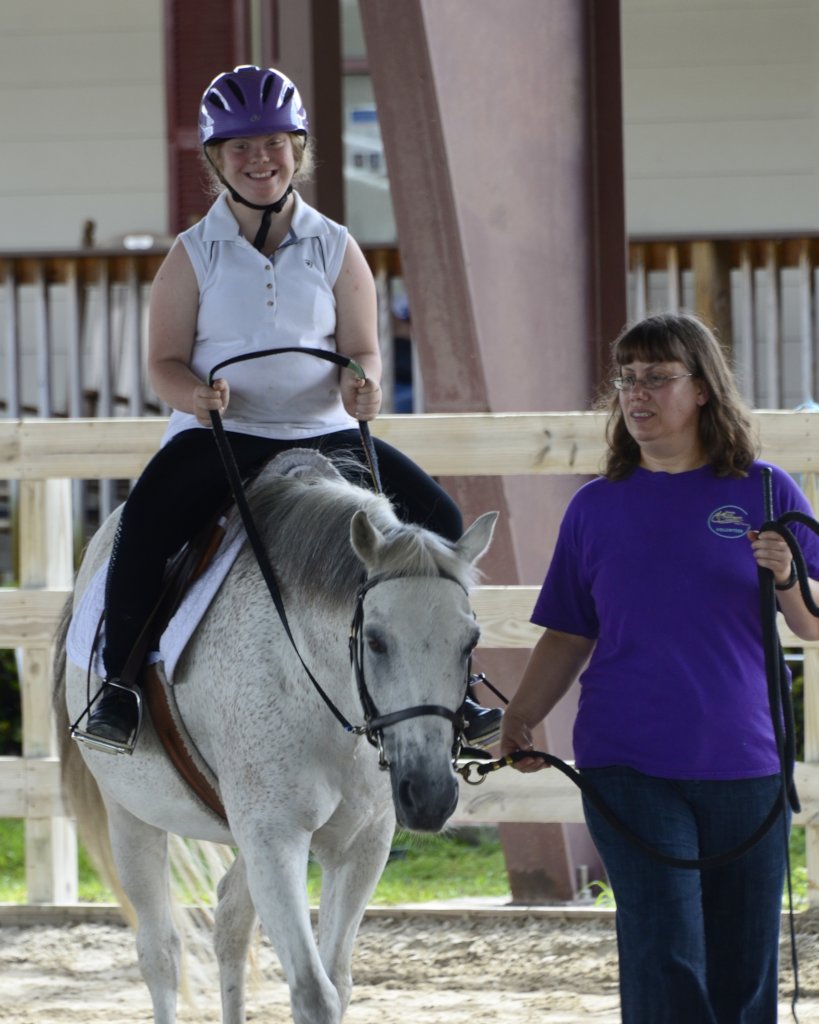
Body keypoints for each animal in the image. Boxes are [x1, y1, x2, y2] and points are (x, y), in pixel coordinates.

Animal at [54, 454, 499, 1024]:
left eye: (470, 641)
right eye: (376, 640)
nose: (429, 795)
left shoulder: (359, 846)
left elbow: (337, 981)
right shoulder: (274, 837)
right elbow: (314, 992)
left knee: (230, 922)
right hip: (132, 816)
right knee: (161, 953)